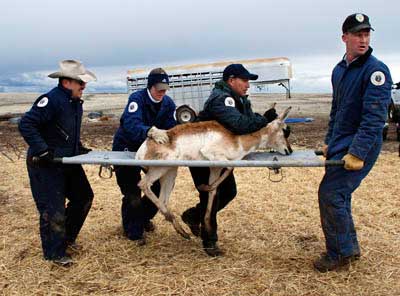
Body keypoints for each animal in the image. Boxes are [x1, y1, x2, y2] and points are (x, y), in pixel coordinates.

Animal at [136, 106, 292, 238]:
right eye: (285, 130)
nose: (290, 150)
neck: (237, 139)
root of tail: (145, 145)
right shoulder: (215, 157)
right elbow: (230, 167)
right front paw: (204, 187)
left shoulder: (215, 167)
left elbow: (214, 191)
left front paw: (207, 225)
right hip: (162, 167)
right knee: (143, 184)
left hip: (170, 172)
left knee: (163, 198)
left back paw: (182, 231)